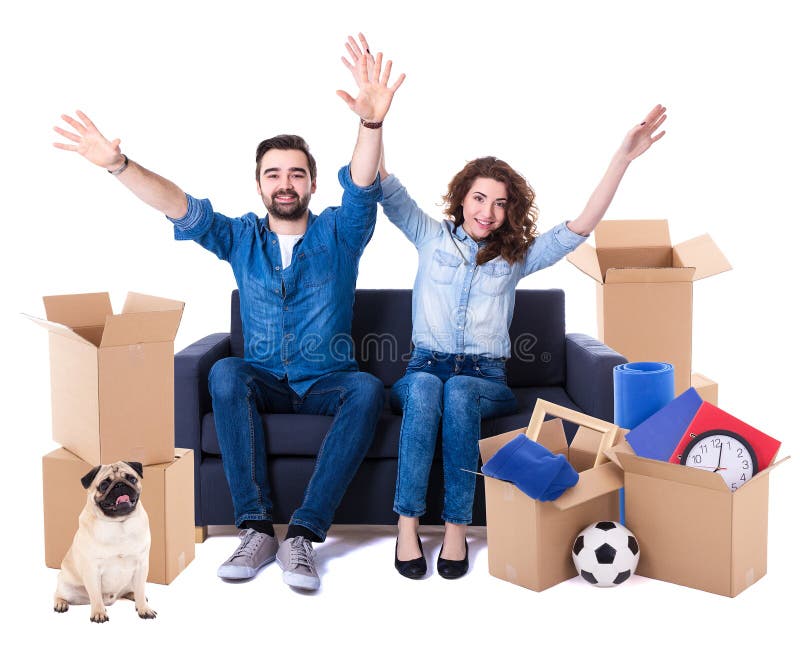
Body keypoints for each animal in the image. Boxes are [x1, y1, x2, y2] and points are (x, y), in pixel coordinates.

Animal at [52, 462, 156, 624]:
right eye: (104, 485)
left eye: (132, 479)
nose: (120, 484)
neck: (119, 523)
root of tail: (111, 599)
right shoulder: (92, 569)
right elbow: (95, 594)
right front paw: (99, 613)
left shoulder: (141, 565)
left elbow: (140, 589)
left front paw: (144, 609)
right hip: (66, 586)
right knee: (59, 594)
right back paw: (61, 603)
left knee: (132, 591)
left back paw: (134, 596)